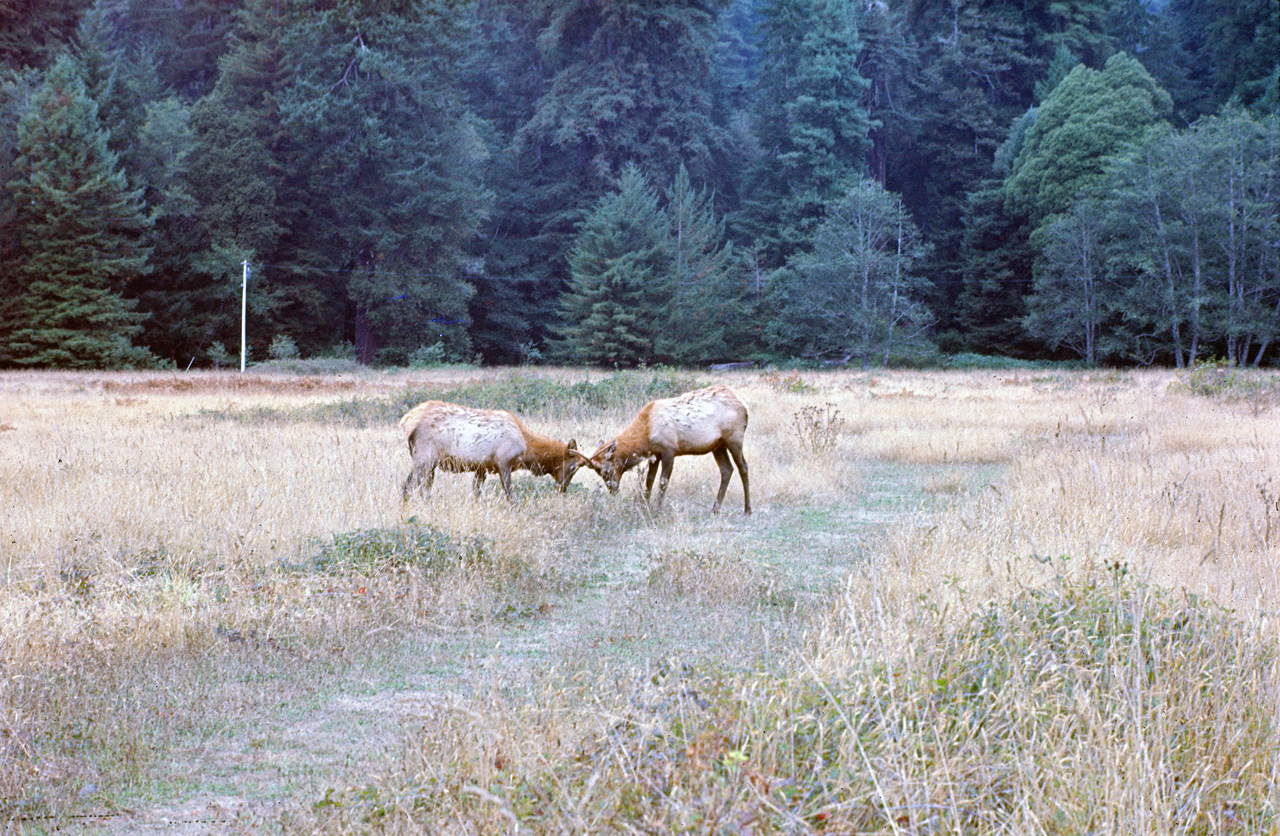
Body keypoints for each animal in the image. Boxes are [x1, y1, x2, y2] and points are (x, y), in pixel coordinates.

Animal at [394, 399, 524, 499]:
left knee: (421, 489)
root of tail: (406, 421)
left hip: (427, 463)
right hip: (425, 460)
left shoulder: (482, 468)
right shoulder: (503, 463)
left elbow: (475, 493)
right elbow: (509, 493)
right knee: (408, 487)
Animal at [573, 386, 747, 514]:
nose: (613, 490)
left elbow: (663, 481)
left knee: (743, 467)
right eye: (598, 473)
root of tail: (745, 403)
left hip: (734, 439)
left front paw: (658, 508)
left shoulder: (669, 449)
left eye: (605, 470)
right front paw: (644, 505)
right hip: (717, 445)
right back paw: (715, 509)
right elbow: (649, 480)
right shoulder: (655, 453)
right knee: (727, 469)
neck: (646, 433)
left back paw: (747, 509)